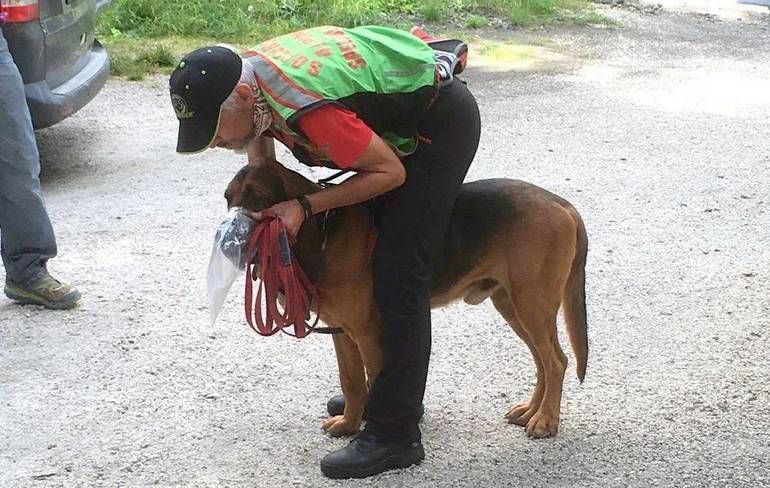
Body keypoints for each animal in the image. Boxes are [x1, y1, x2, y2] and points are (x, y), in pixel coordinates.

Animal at [225, 160, 584, 438]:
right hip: (513, 306)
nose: (229, 240)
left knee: (556, 362)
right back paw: (532, 410)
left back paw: (545, 420)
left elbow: (376, 383)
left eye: (258, 198)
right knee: (543, 362)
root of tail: (561, 204)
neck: (325, 229)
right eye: (227, 198)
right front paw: (349, 424)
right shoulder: (342, 332)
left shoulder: (369, 335)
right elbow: (352, 381)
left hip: (531, 306)